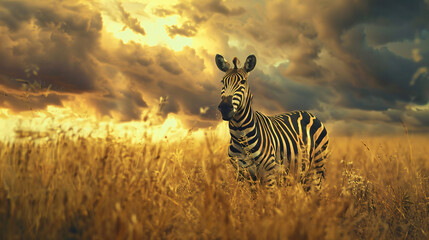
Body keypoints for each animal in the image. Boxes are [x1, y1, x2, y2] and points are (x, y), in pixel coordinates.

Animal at [216, 54, 330, 189]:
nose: (225, 107)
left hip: (316, 167)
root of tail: (310, 113)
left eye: (242, 82)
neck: (240, 135)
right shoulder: (241, 174)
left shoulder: (268, 174)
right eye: (223, 82)